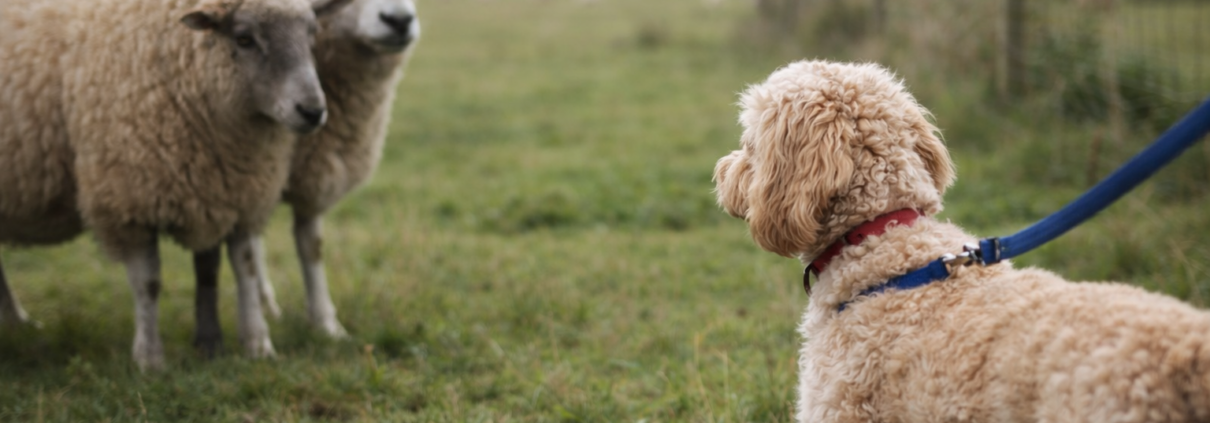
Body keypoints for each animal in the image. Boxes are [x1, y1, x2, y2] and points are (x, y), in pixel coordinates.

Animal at [0, 0, 352, 370]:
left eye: (312, 33)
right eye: (243, 38)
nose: (312, 110)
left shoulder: (239, 195)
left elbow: (244, 269)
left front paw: (257, 345)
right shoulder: (130, 202)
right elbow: (149, 283)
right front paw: (150, 359)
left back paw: (16, 324)